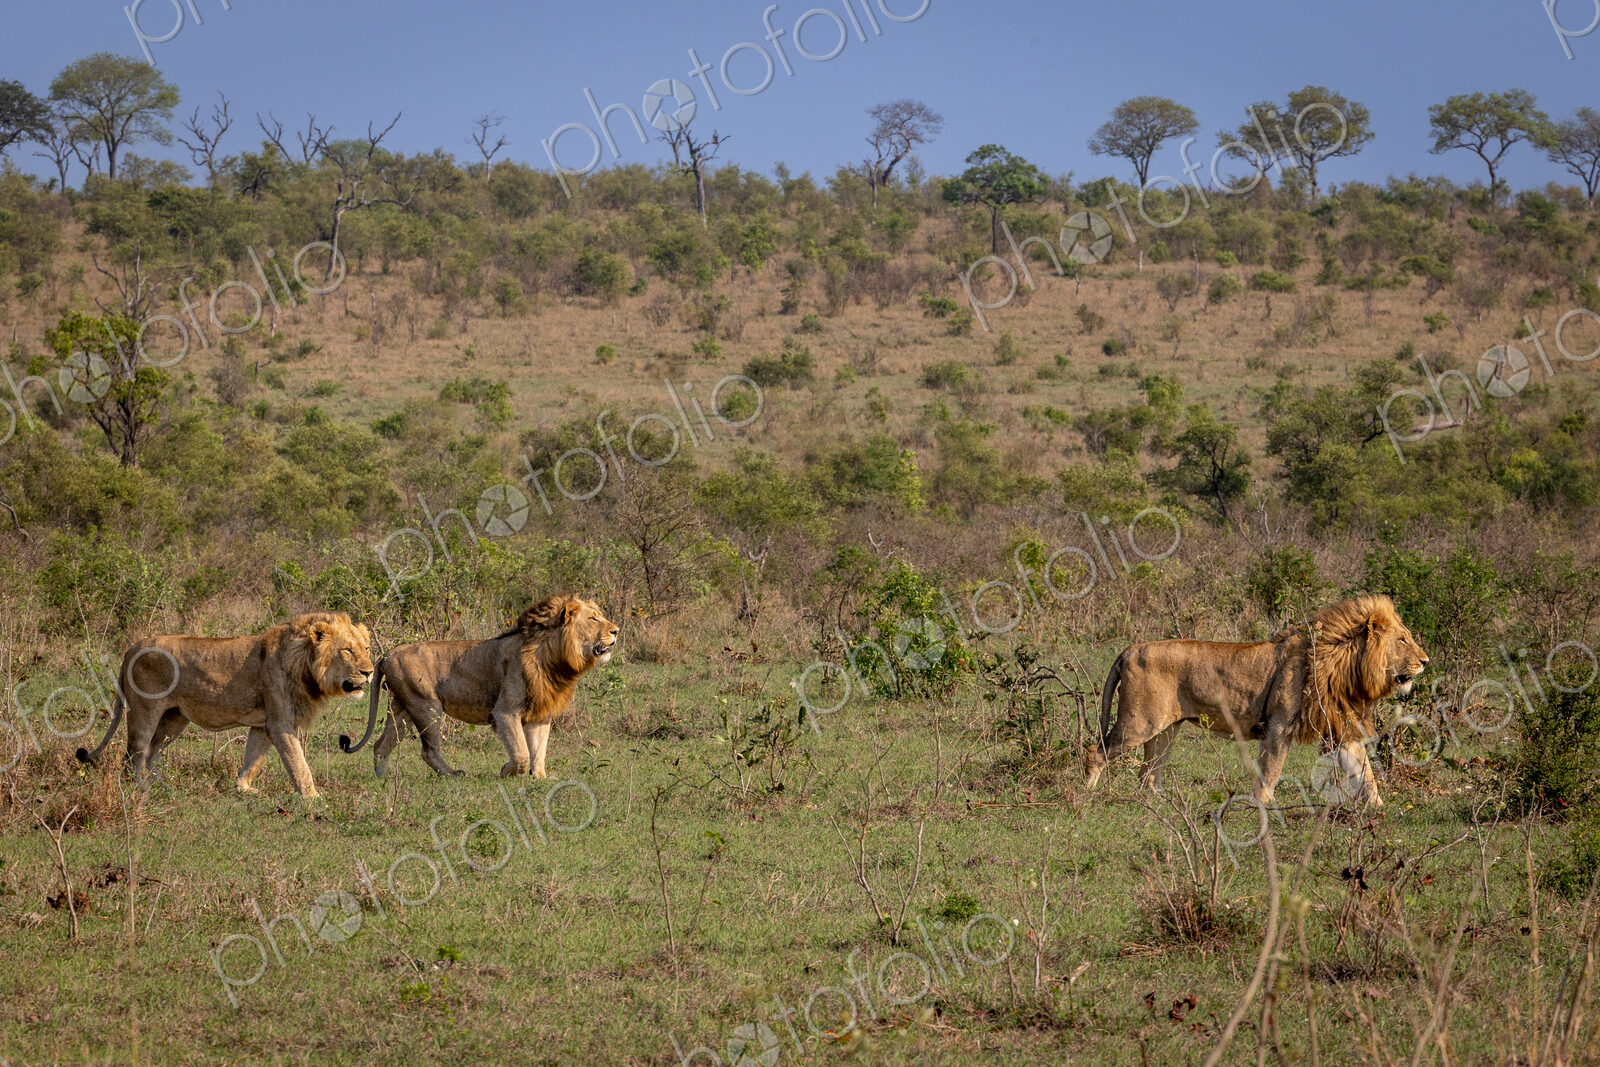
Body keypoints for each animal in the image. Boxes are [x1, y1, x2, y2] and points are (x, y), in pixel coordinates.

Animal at [77, 613, 374, 798]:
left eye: (367, 648)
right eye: (347, 650)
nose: (370, 672)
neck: (304, 663)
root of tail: (133, 647)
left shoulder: (263, 725)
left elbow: (253, 757)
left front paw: (242, 788)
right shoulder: (280, 723)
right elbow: (298, 763)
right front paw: (312, 797)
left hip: (173, 719)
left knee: (152, 750)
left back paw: (158, 783)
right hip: (145, 711)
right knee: (135, 751)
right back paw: (139, 785)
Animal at [341, 595, 618, 779]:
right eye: (594, 619)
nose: (616, 630)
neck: (555, 657)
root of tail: (387, 654)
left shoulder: (541, 713)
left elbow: (538, 751)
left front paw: (540, 779)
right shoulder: (505, 712)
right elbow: (521, 753)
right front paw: (506, 771)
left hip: (403, 709)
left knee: (381, 746)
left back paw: (383, 780)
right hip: (427, 707)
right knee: (428, 751)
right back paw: (453, 774)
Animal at [1083, 595, 1429, 808]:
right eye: (1403, 640)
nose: (1426, 661)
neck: (1344, 663)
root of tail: (1130, 649)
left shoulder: (1341, 728)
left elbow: (1365, 773)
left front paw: (1380, 808)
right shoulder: (1279, 726)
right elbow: (1271, 770)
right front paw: (1264, 807)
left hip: (1165, 729)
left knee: (1149, 773)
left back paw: (1161, 804)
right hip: (1139, 722)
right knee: (1096, 751)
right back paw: (1087, 793)